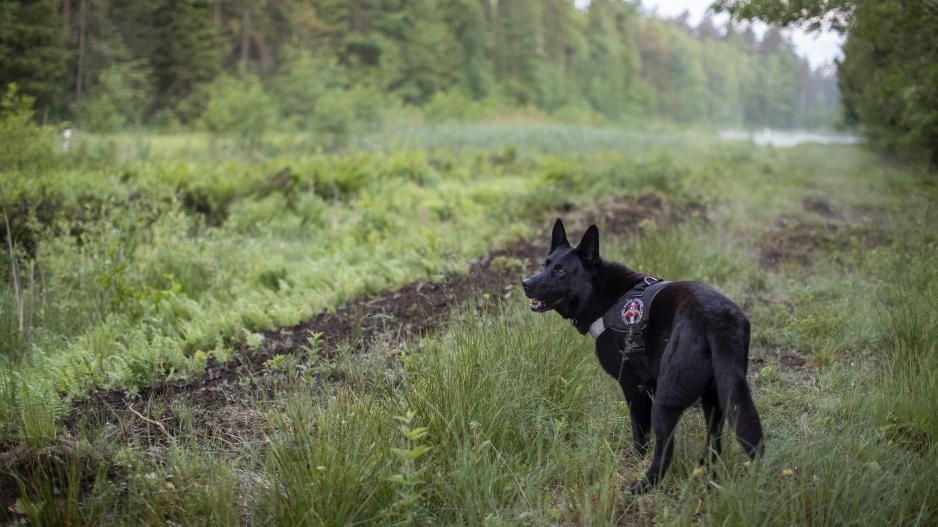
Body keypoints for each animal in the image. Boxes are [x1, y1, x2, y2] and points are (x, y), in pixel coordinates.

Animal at [520, 220, 760, 496]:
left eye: (560, 270)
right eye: (544, 264)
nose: (525, 283)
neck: (604, 296)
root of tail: (717, 321)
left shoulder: (633, 385)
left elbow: (639, 431)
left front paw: (634, 460)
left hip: (667, 399)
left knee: (664, 452)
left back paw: (642, 486)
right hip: (718, 397)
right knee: (713, 444)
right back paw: (706, 478)